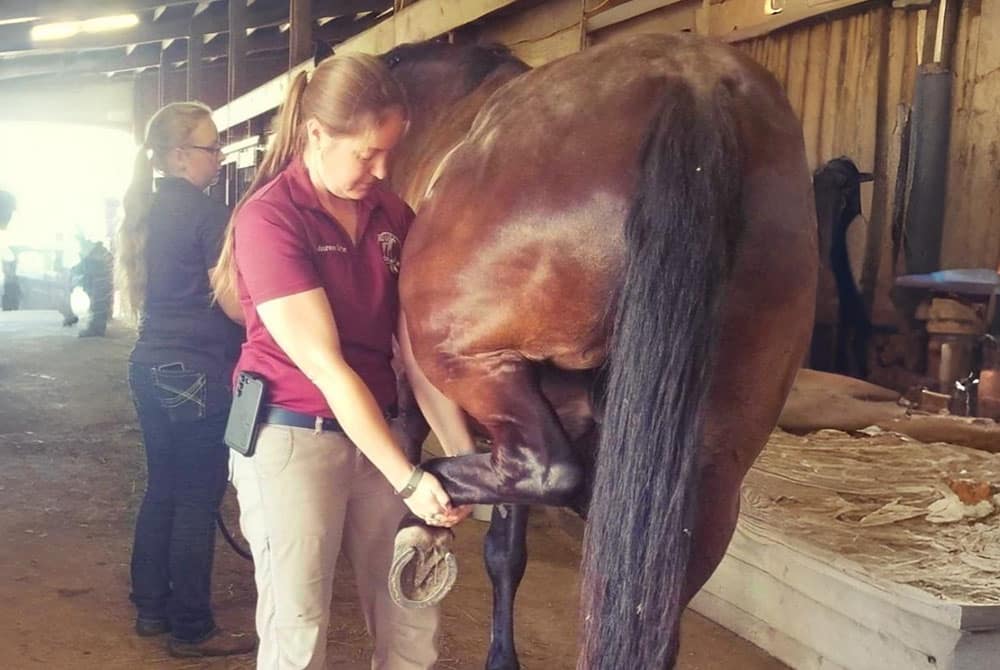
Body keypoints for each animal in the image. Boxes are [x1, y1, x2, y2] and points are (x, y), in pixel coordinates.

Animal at [380, 33, 817, 669]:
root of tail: (693, 84)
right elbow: (506, 549)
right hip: (711, 476)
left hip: (474, 365)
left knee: (545, 469)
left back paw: (429, 492)